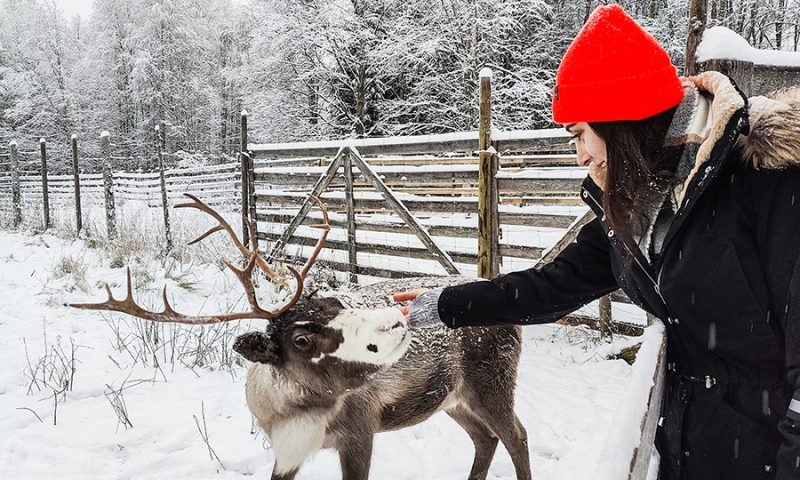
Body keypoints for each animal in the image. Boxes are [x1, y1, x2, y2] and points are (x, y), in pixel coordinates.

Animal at [71, 193, 532, 480]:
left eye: (335, 304)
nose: (394, 323)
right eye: (301, 341)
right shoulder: (287, 447)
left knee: (517, 436)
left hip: (492, 383)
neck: (295, 411)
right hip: (453, 399)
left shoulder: (360, 430)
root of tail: (514, 322)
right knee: (486, 439)